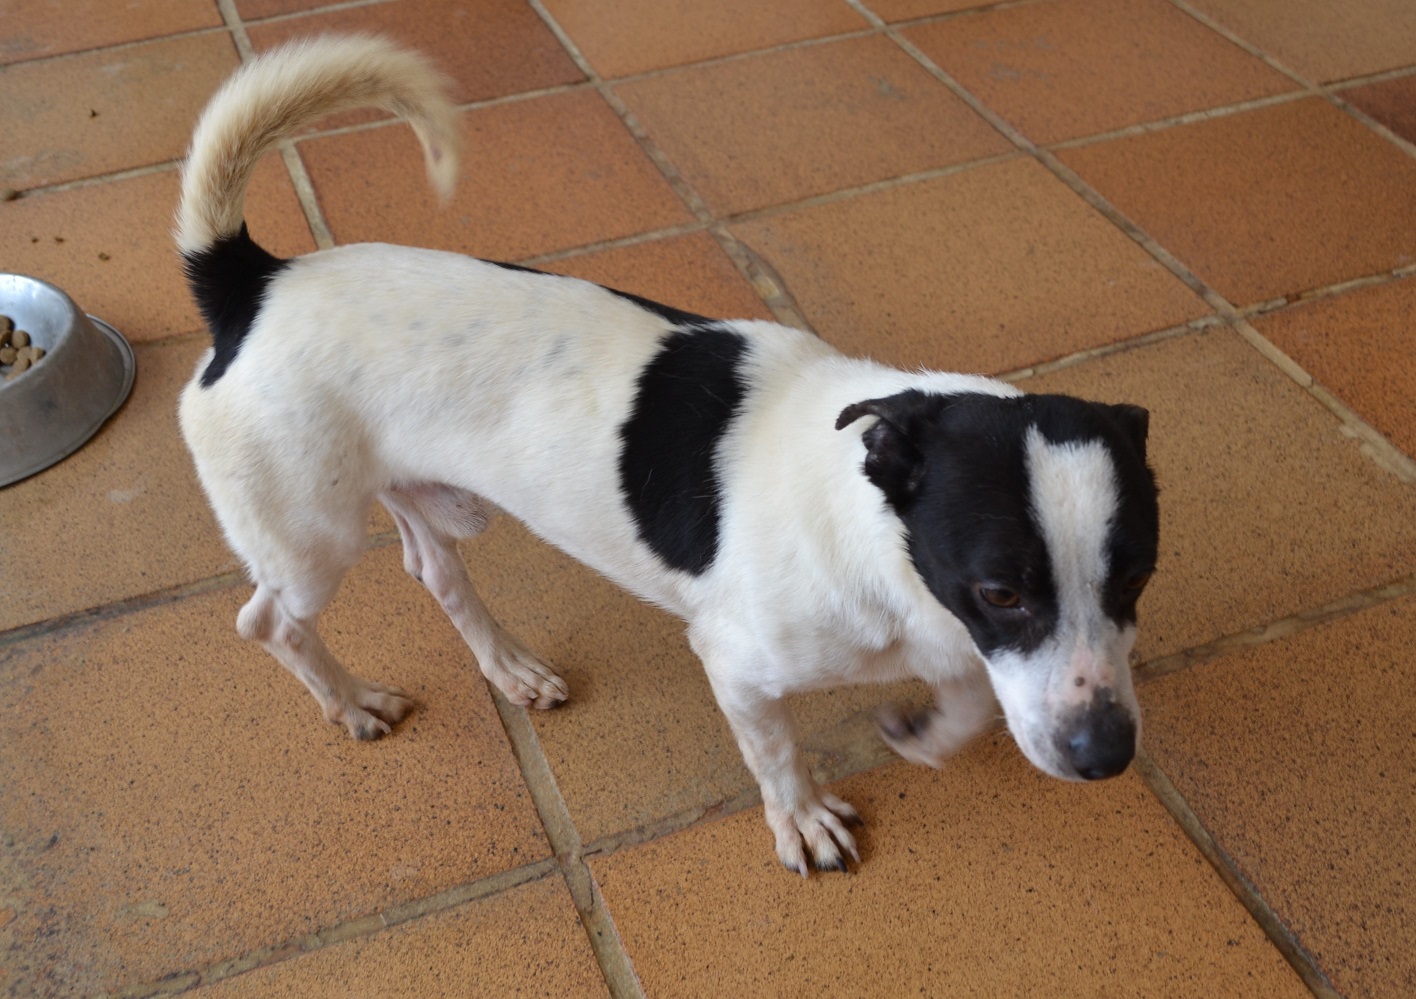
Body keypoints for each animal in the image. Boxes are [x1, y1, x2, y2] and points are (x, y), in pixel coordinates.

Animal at [176, 36, 1160, 876]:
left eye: (1135, 578)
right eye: (1002, 590)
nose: (1108, 756)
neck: (871, 532)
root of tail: (255, 281)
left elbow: (970, 698)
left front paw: (924, 733)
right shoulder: (738, 663)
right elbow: (777, 751)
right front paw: (802, 819)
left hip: (427, 499)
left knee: (433, 569)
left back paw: (510, 667)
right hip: (313, 539)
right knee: (267, 623)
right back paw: (351, 703)